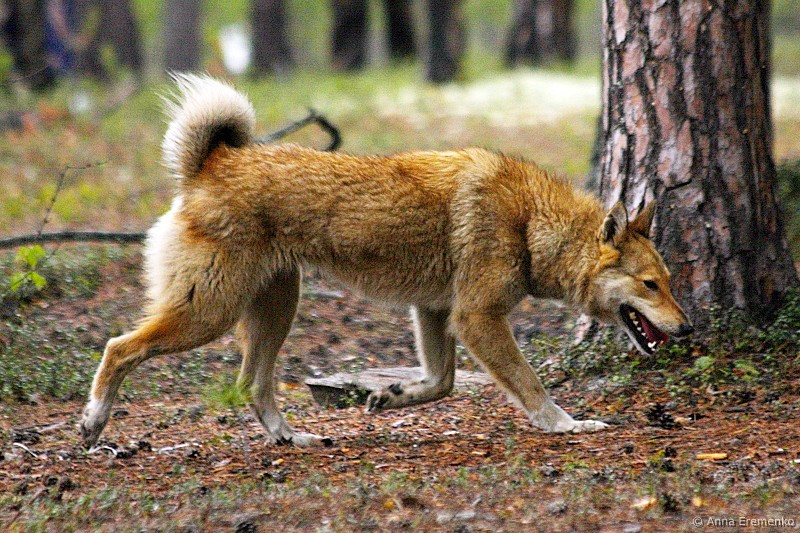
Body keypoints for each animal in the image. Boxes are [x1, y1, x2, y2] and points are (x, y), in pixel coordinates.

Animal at [80, 75, 694, 448]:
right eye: (649, 285)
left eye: (668, 282)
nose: (688, 329)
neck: (529, 224)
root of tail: (213, 162)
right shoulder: (476, 319)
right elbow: (532, 388)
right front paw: (568, 425)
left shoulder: (436, 313)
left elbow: (441, 383)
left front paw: (389, 396)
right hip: (210, 314)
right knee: (118, 347)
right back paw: (93, 422)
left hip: (275, 309)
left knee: (252, 385)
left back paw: (291, 438)